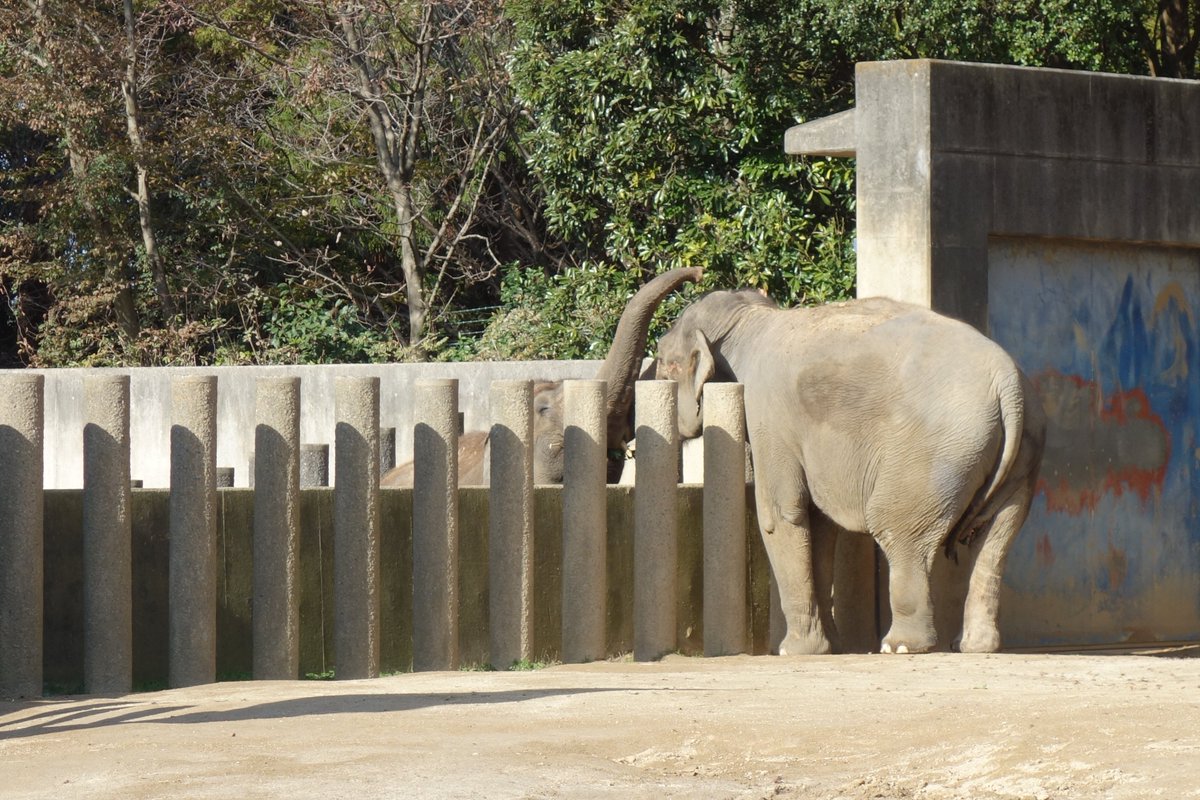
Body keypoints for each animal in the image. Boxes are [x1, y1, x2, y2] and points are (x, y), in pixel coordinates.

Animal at [657, 291, 1041, 652]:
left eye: (662, 364)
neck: (749, 319)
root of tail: (1008, 384)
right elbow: (821, 525)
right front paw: (830, 647)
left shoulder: (767, 416)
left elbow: (781, 515)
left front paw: (793, 651)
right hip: (1019, 456)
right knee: (996, 535)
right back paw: (973, 646)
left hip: (936, 453)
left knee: (896, 528)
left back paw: (900, 646)